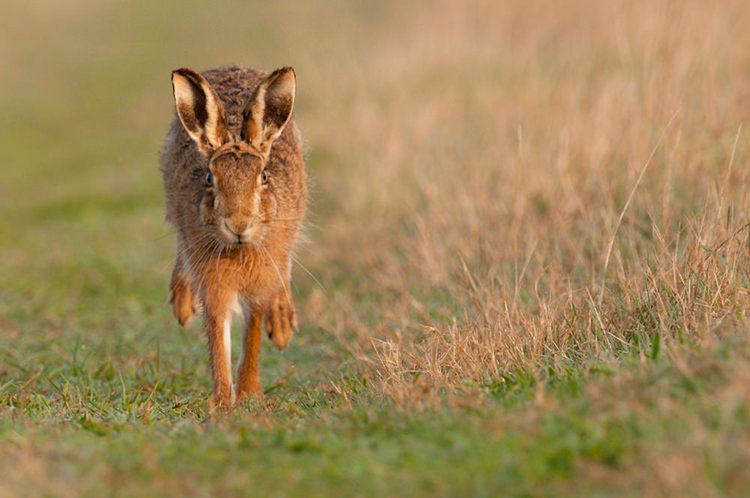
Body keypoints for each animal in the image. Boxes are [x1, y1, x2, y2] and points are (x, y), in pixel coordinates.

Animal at [160, 65, 307, 408]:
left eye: (264, 176)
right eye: (209, 178)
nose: (238, 224)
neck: (239, 249)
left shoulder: (260, 282)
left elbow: (252, 332)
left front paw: (250, 394)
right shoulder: (213, 282)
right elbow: (217, 334)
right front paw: (222, 403)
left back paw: (282, 325)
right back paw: (182, 303)